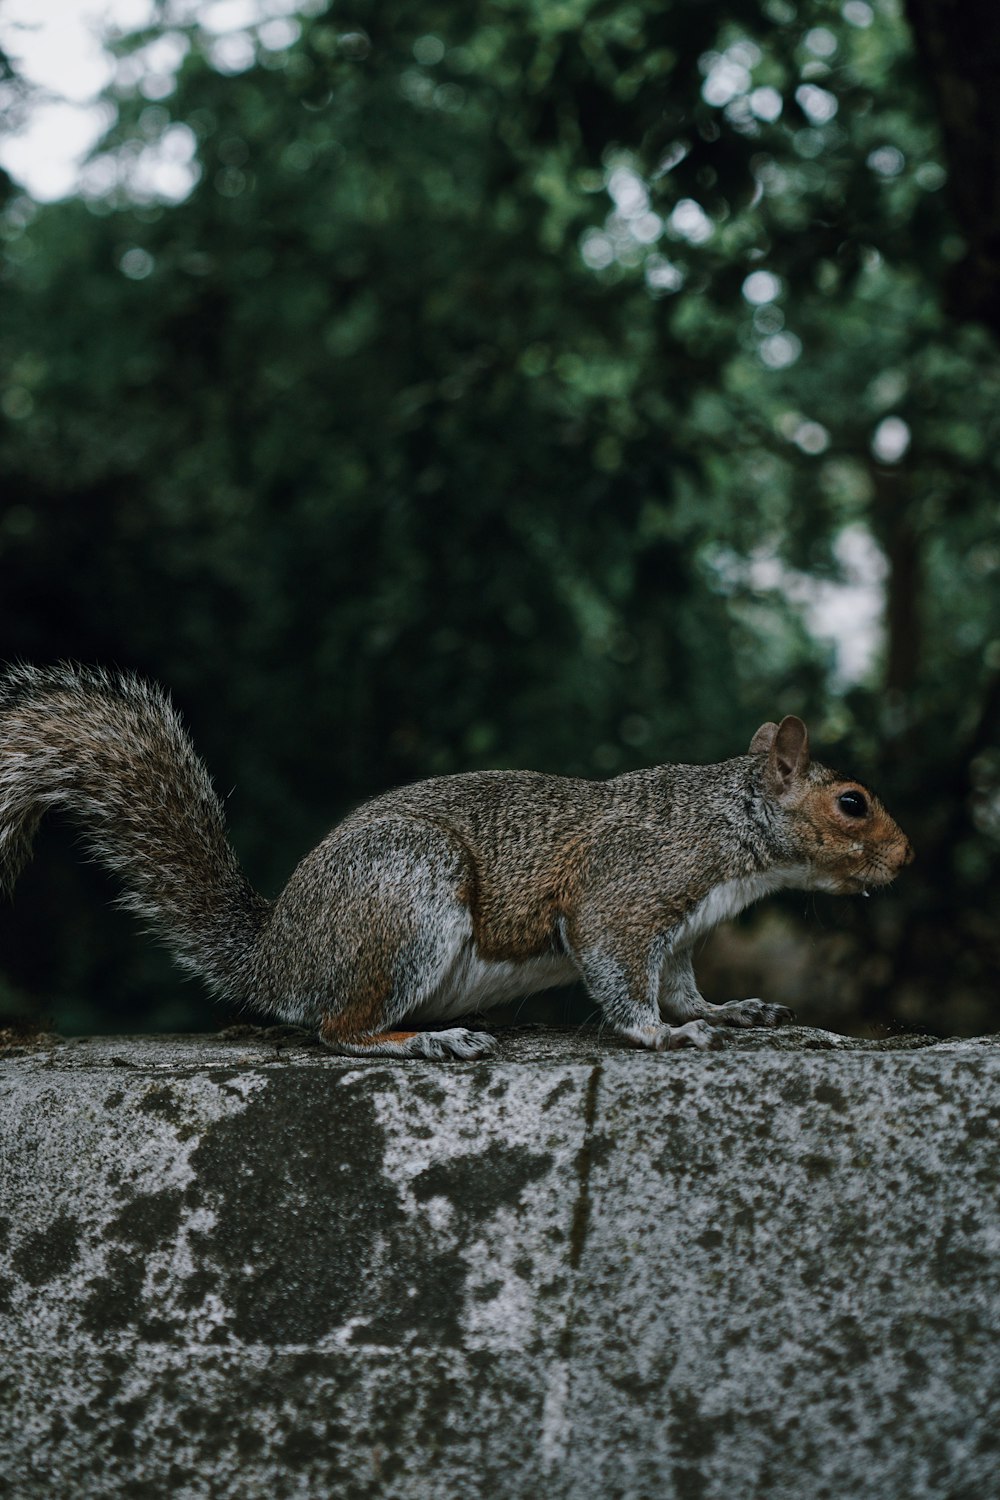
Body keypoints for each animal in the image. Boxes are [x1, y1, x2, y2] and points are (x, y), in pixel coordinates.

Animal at [0, 663, 917, 1062]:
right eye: (853, 803)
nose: (907, 856)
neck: (729, 827)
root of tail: (276, 958)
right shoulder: (627, 891)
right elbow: (621, 974)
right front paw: (660, 1033)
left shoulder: (686, 930)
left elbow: (688, 986)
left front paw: (730, 1013)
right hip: (406, 898)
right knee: (337, 1031)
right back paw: (421, 1042)